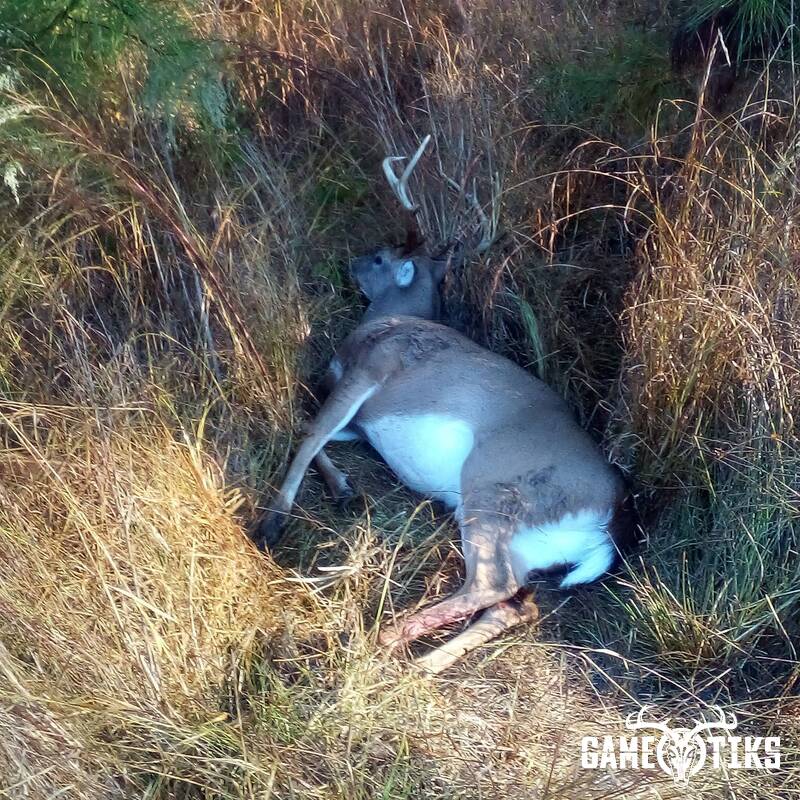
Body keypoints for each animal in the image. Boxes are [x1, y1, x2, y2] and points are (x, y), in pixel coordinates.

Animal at [257, 135, 637, 674]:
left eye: (381, 257)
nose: (352, 262)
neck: (388, 321)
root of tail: (613, 515)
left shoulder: (373, 368)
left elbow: (308, 430)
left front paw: (273, 521)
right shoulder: (362, 417)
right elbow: (315, 430)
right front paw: (343, 488)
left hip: (493, 487)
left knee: (491, 586)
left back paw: (387, 637)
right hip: (523, 538)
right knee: (516, 605)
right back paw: (418, 666)